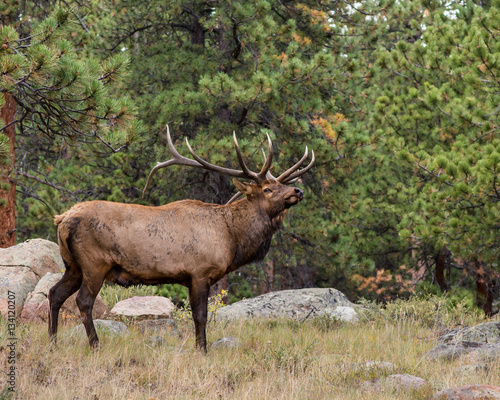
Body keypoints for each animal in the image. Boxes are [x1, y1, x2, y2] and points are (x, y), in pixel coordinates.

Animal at [47, 126, 312, 352]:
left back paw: (53, 342)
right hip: (95, 263)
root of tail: (63, 219)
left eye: (280, 183)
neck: (232, 238)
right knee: (83, 301)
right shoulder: (200, 272)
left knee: (54, 293)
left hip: (73, 265)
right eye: (267, 189)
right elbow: (200, 316)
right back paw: (95, 345)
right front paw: (202, 350)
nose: (298, 190)